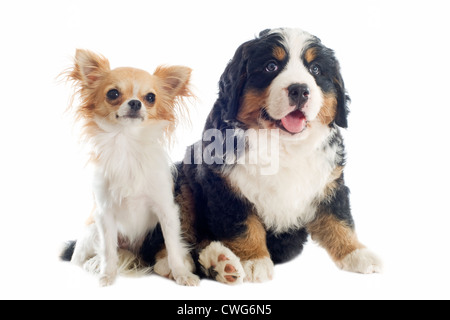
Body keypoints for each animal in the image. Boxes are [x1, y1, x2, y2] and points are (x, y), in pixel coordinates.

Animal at [61, 50, 199, 288]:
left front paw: (182, 275)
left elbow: (173, 247)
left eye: (151, 97)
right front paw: (107, 276)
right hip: (91, 231)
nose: (135, 103)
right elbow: (108, 251)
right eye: (113, 93)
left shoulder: (166, 210)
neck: (127, 143)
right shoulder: (104, 214)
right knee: (88, 256)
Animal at [142, 28, 382, 284]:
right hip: (180, 185)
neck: (282, 145)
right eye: (271, 66)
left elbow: (339, 219)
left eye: (316, 69)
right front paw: (254, 260)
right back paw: (179, 262)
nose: (300, 90)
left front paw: (357, 253)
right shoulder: (226, 186)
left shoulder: (329, 182)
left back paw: (219, 262)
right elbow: (244, 226)